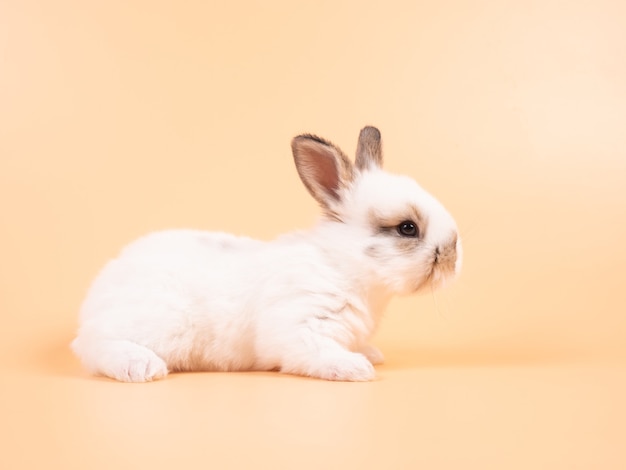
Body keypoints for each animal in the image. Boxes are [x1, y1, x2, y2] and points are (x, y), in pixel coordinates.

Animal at [70, 126, 460, 382]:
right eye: (407, 228)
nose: (455, 255)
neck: (342, 265)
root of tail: (94, 299)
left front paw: (369, 354)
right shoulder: (299, 326)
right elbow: (317, 352)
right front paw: (355, 367)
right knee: (94, 346)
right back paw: (142, 366)